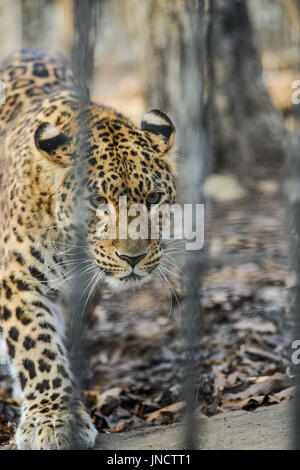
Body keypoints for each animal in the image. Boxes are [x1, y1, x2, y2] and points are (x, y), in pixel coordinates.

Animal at [0, 49, 176, 450]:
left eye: (154, 198)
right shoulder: (15, 277)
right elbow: (35, 346)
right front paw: (52, 418)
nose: (133, 257)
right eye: (97, 201)